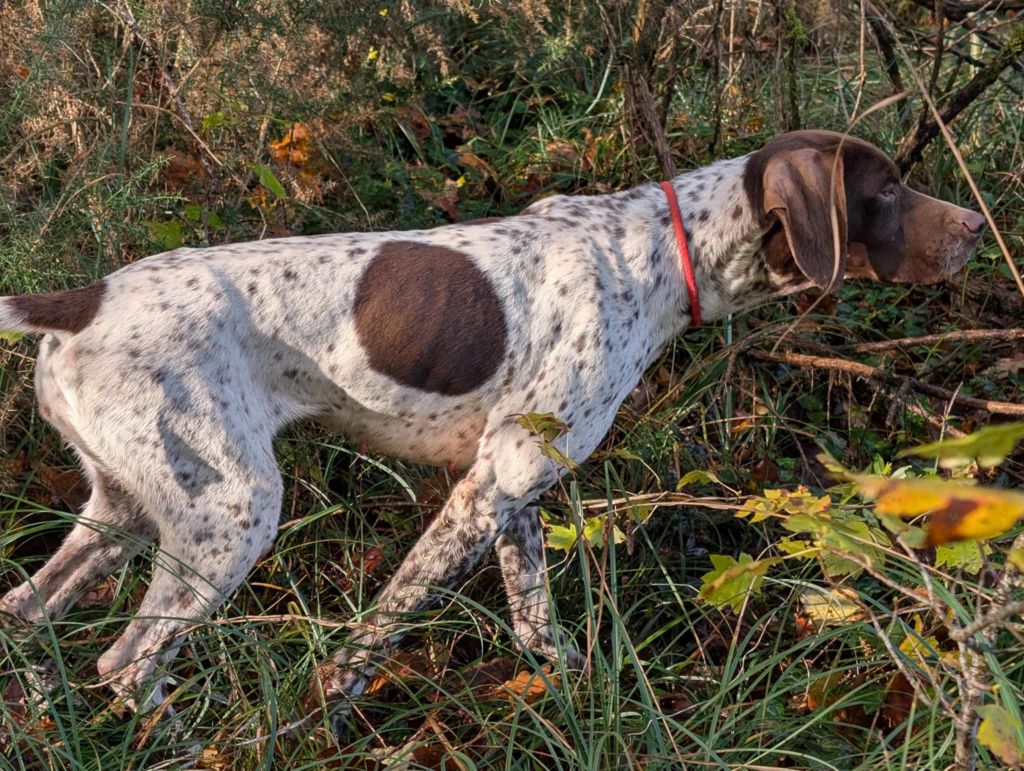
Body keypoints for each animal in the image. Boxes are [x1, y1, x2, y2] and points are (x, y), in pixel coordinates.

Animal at [0, 129, 983, 724]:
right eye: (887, 189)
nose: (978, 227)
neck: (665, 252)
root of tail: (83, 300)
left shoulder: (517, 492)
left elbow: (535, 621)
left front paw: (574, 697)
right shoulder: (490, 483)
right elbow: (391, 613)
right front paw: (337, 699)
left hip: (128, 507)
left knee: (25, 612)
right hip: (229, 512)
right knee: (129, 662)